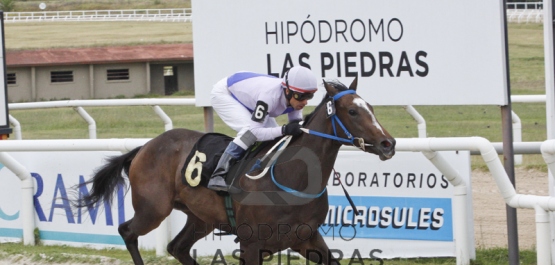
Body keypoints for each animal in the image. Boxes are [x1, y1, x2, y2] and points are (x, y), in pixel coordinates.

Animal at [75, 76, 396, 262]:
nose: (388, 144)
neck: (293, 177)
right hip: (153, 209)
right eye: (353, 111)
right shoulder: (253, 244)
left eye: (371, 108)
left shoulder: (306, 238)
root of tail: (144, 147)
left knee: (177, 247)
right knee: (128, 231)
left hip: (200, 217)